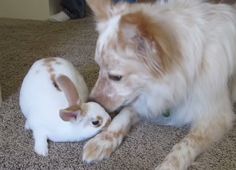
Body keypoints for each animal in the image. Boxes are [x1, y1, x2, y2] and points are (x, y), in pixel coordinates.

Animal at [82, 0, 236, 169]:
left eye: (115, 77)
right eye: (99, 67)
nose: (90, 101)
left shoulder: (215, 116)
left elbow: (187, 143)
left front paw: (169, 165)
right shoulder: (146, 98)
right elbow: (123, 115)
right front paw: (102, 140)